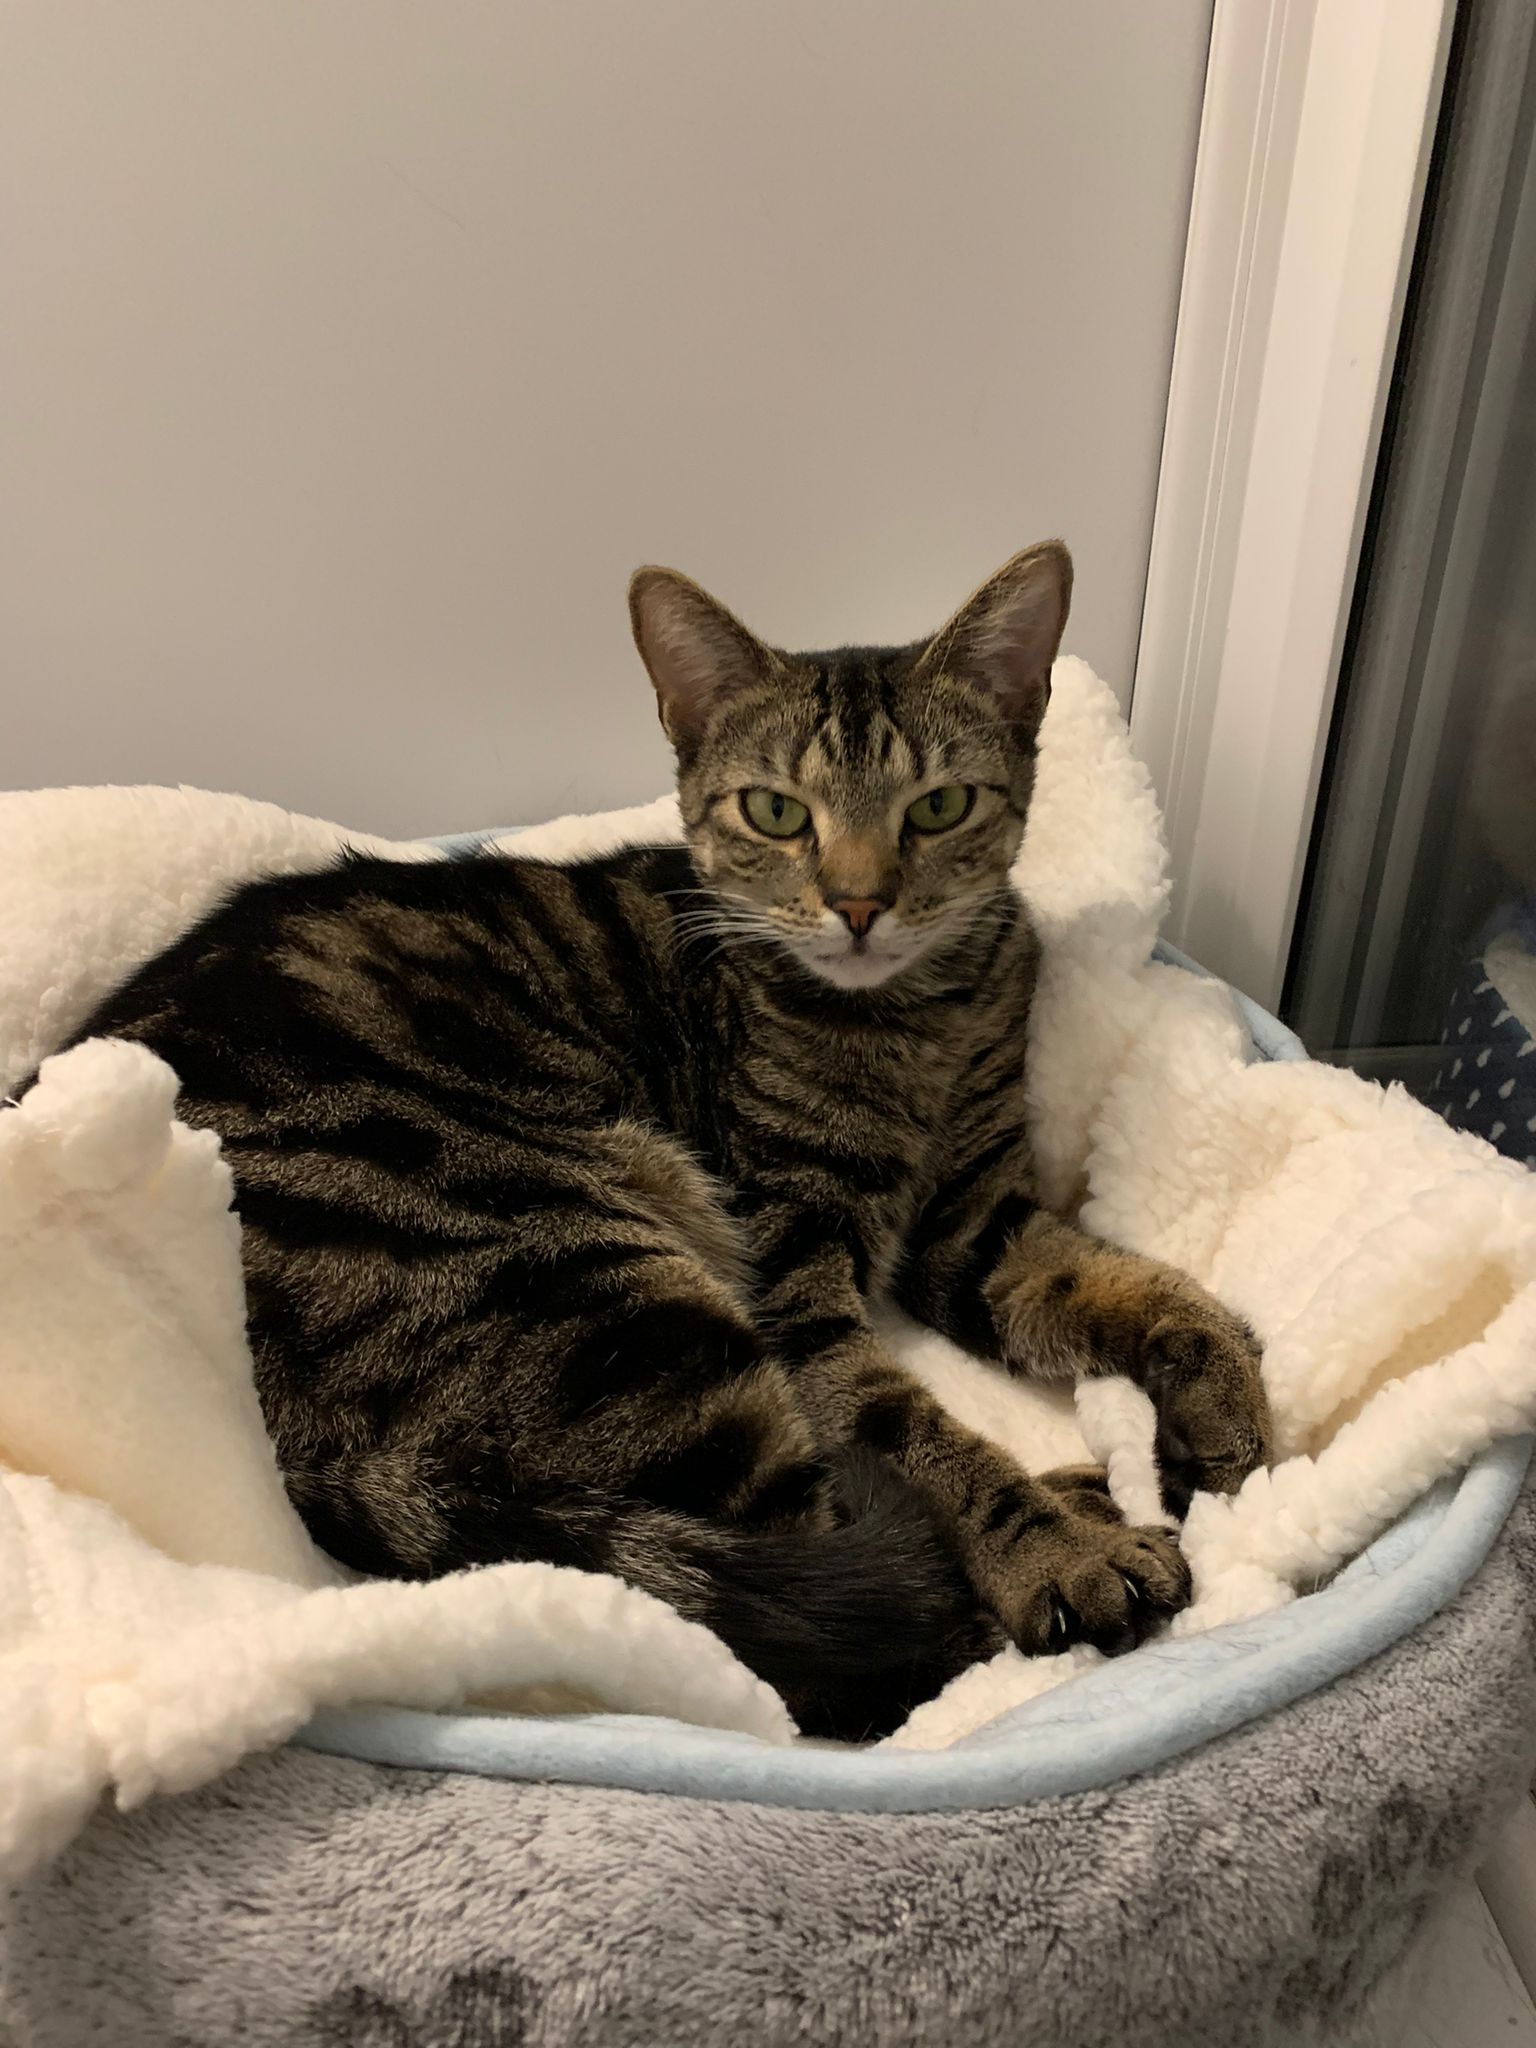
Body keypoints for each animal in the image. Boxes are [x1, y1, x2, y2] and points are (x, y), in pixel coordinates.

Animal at [54, 540, 1269, 1728]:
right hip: (603, 1283)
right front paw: (1053, 1552)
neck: (914, 1022)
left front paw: (1225, 1396)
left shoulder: (972, 1220)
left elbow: (1129, 1281)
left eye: (939, 807)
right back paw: (1078, 1518)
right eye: (776, 812)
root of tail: (289, 1458)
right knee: (817, 1624)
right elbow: (909, 1431)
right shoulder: (794, 1271)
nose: (859, 903)